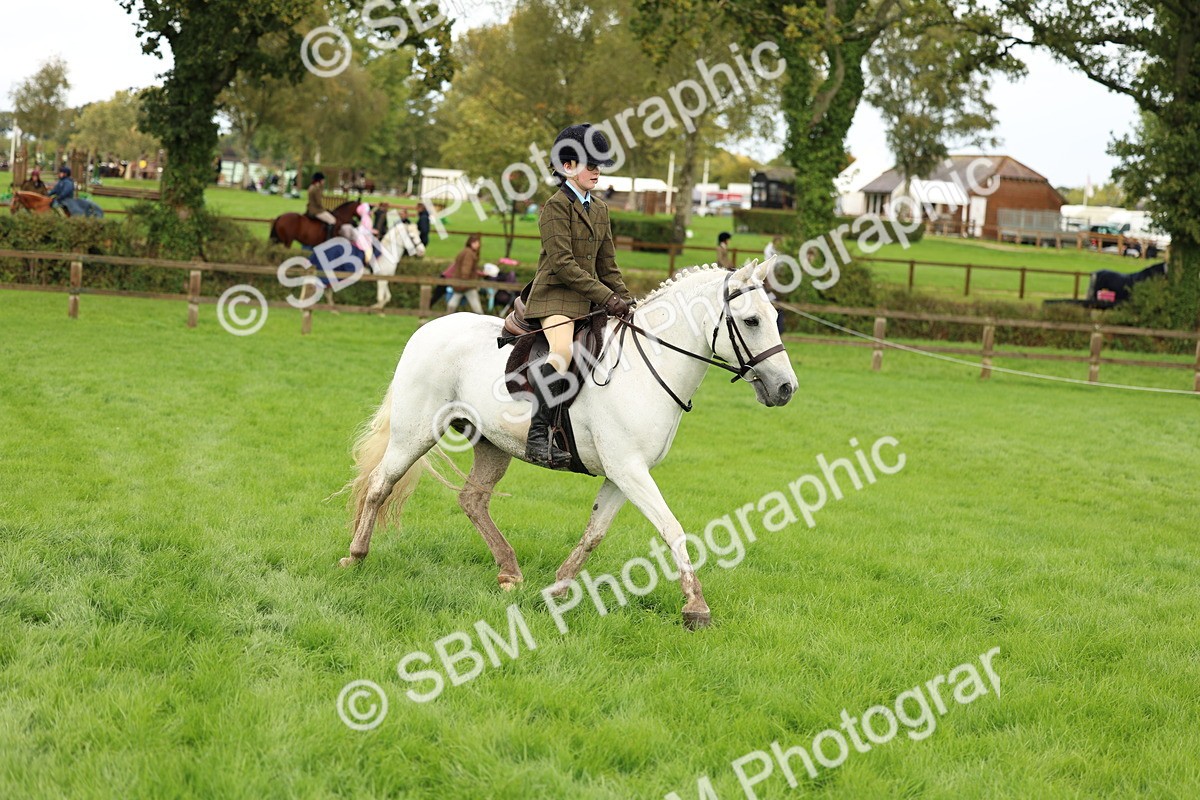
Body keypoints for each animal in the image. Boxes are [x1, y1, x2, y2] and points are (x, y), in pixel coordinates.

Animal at [341, 258, 797, 629]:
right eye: (752, 321)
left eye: (775, 316)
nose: (786, 388)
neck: (651, 366)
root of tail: (427, 330)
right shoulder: (629, 470)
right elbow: (672, 528)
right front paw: (696, 606)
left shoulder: (623, 474)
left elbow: (594, 533)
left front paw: (559, 588)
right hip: (415, 433)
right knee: (380, 484)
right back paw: (356, 555)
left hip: (492, 444)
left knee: (472, 500)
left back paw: (510, 572)